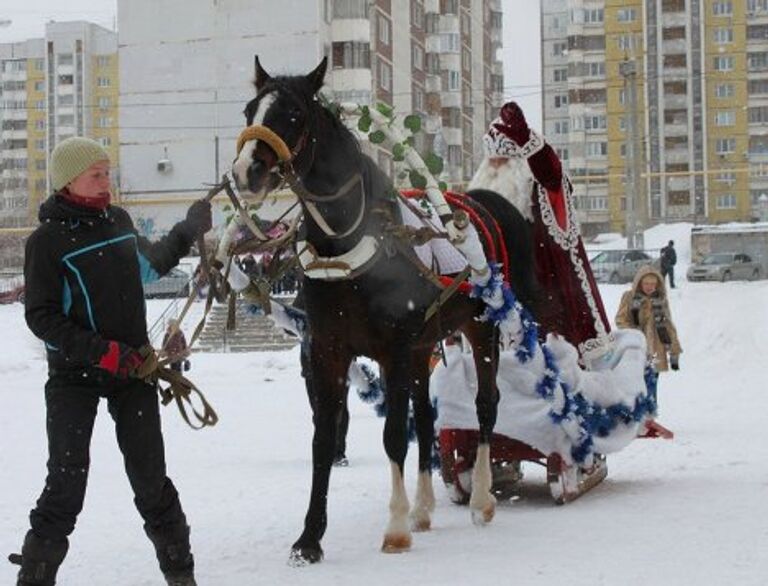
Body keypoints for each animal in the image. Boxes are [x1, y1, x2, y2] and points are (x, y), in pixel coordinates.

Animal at [231, 58, 536, 560]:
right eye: (249, 109)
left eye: (294, 114)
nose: (246, 171)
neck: (346, 247)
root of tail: (484, 203)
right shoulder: (329, 352)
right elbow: (324, 439)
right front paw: (310, 538)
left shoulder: (393, 350)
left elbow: (394, 434)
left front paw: (394, 527)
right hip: (423, 346)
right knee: (428, 418)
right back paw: (425, 508)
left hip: (481, 330)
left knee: (485, 407)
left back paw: (481, 500)